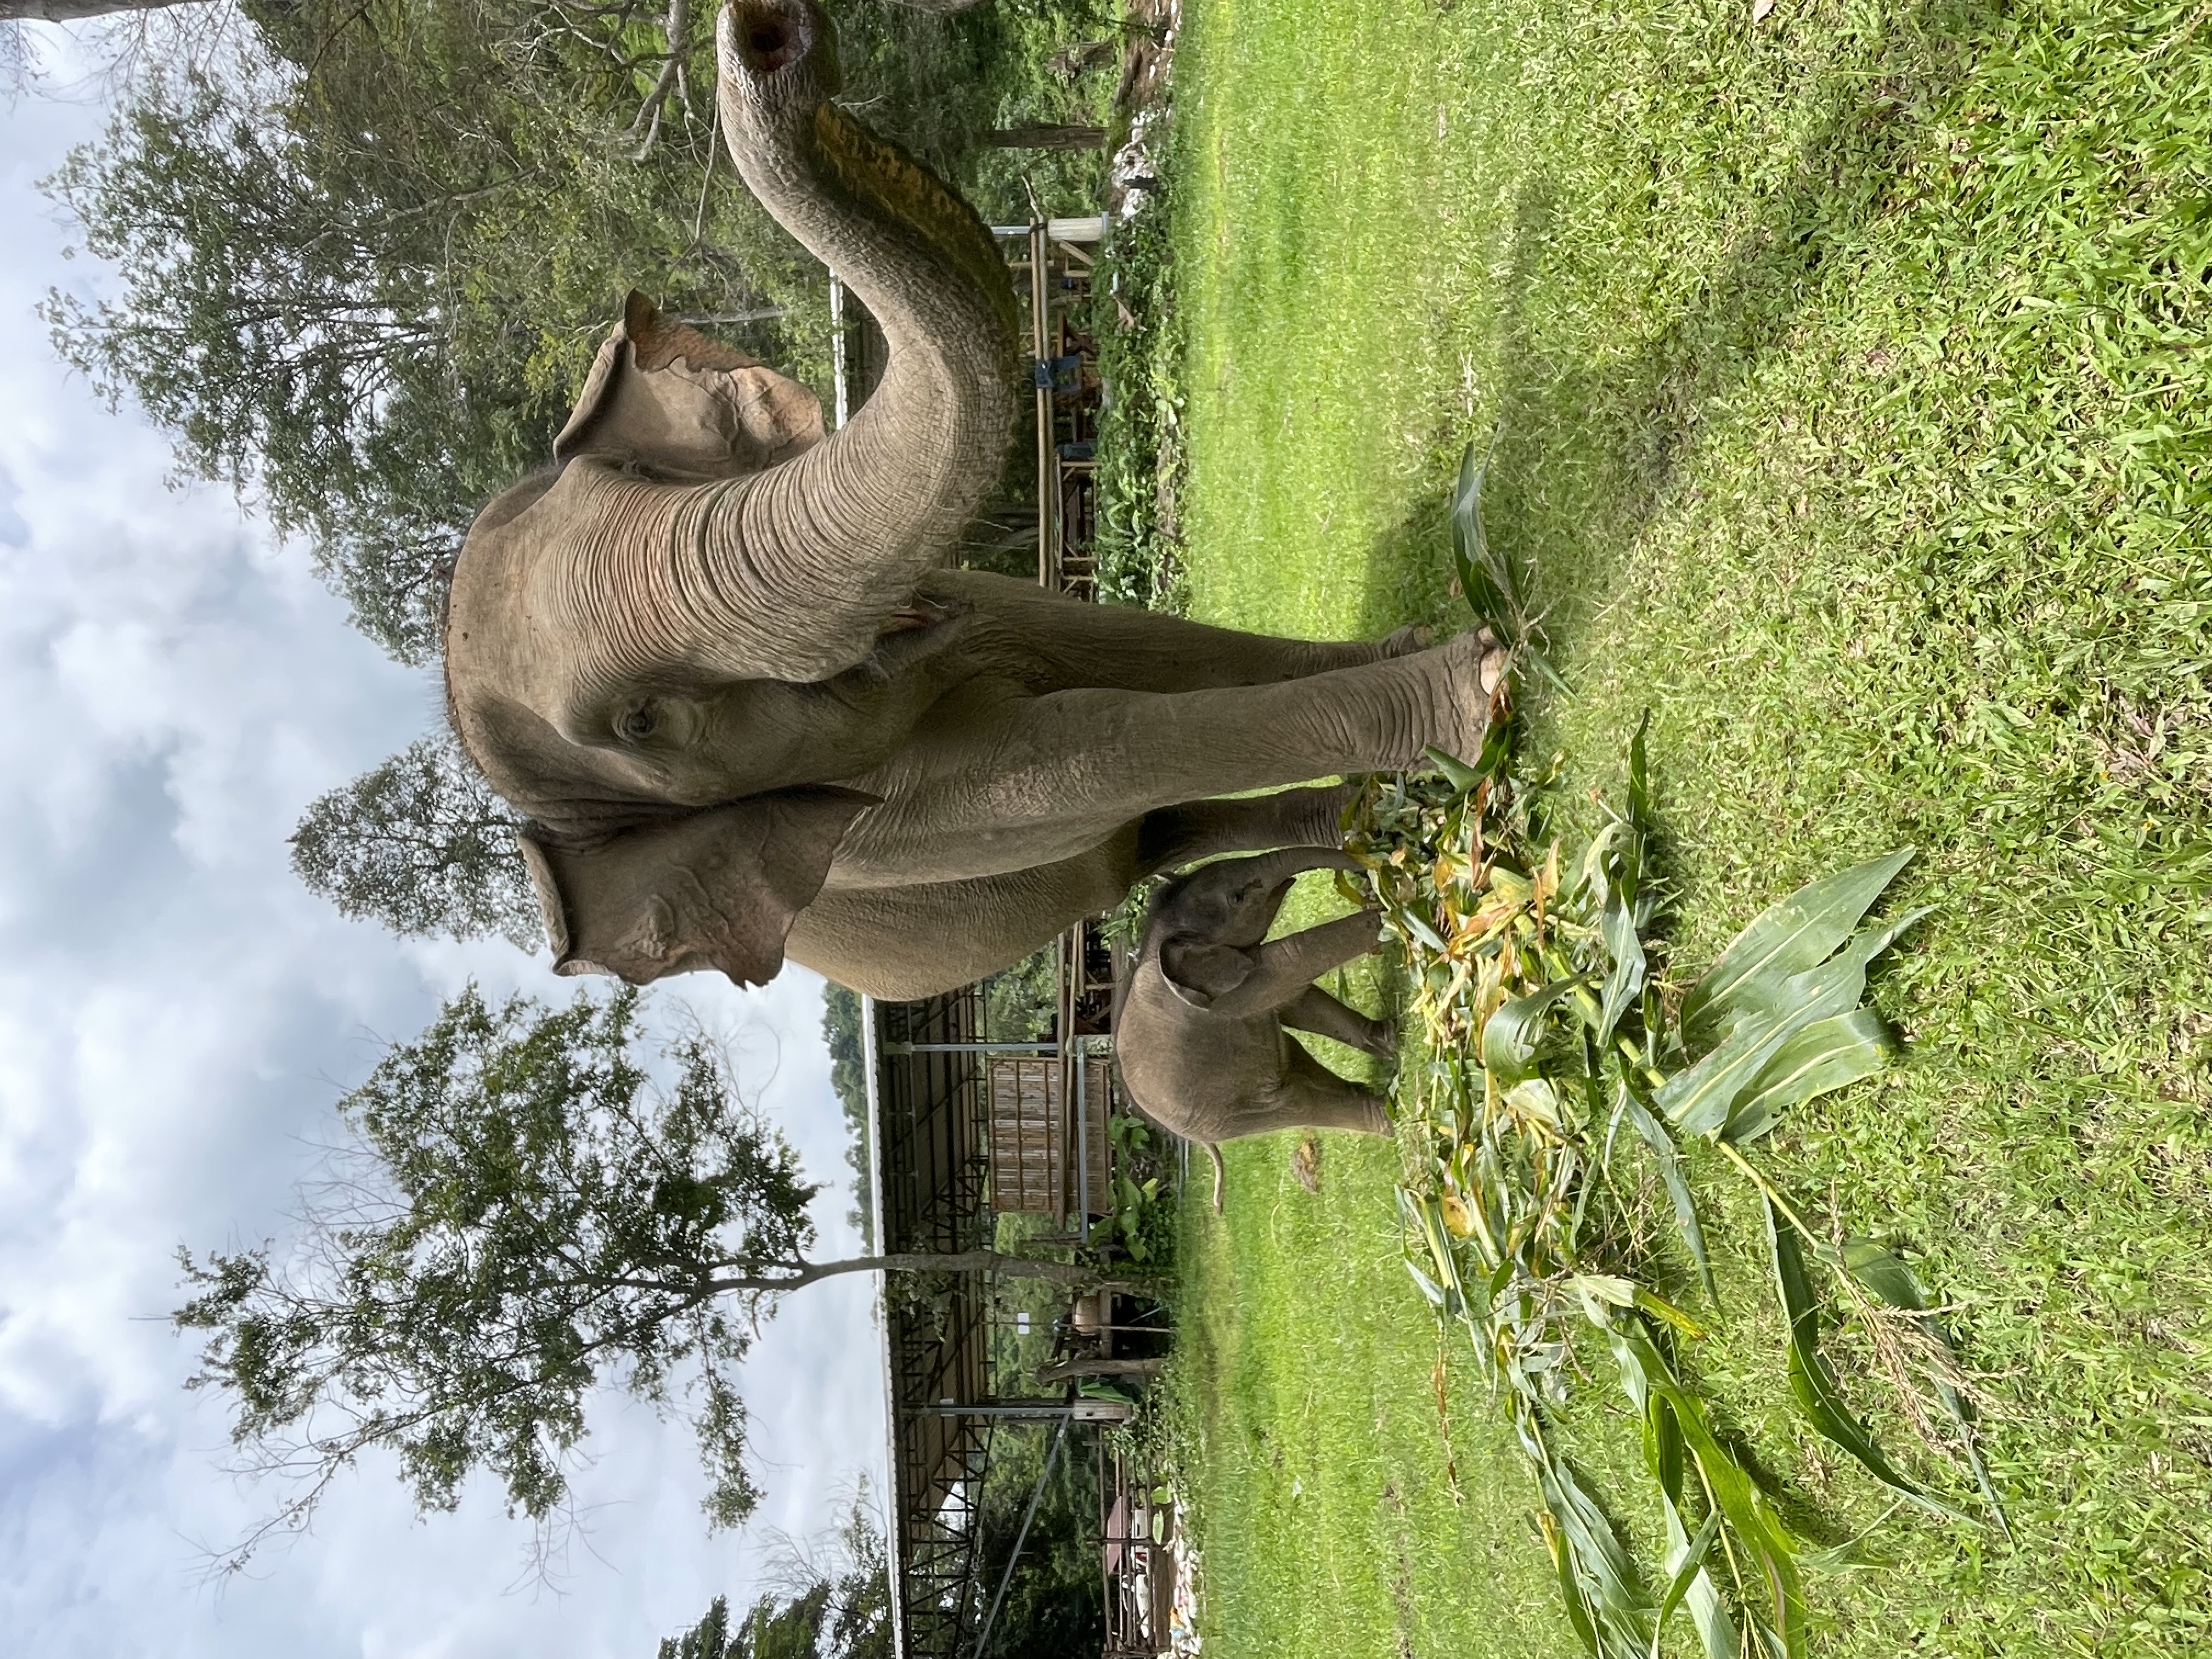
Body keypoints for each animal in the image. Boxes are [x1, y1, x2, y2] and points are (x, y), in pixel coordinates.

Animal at [441, 0, 1505, 1000]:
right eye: (641, 727)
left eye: (643, 479)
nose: (765, 35)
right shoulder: (890, 821)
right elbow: (1097, 743)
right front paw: (1478, 685)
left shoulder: (984, 605)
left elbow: (1141, 644)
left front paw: (1417, 649)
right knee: (1159, 828)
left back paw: (1377, 832)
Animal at [1114, 848, 1397, 1209]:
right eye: (1239, 897)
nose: (1370, 868)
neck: (1155, 939)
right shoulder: (1231, 996)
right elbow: (1296, 959)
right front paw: (1397, 905)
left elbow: (1300, 1001)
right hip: (1223, 1113)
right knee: (1295, 1103)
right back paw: (1389, 1114)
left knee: (1295, 1064)